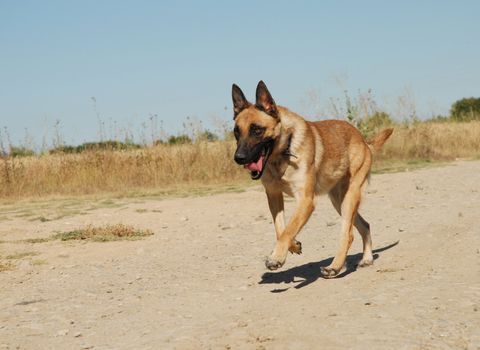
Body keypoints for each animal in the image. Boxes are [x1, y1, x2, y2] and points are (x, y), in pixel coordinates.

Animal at [232, 80, 394, 278]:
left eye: (257, 130)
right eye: (236, 132)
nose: (239, 158)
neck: (284, 151)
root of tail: (363, 141)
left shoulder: (306, 200)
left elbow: (289, 229)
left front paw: (276, 257)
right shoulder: (274, 196)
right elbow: (281, 229)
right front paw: (292, 246)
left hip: (349, 198)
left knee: (348, 234)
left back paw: (335, 267)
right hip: (339, 201)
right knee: (365, 225)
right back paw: (367, 258)